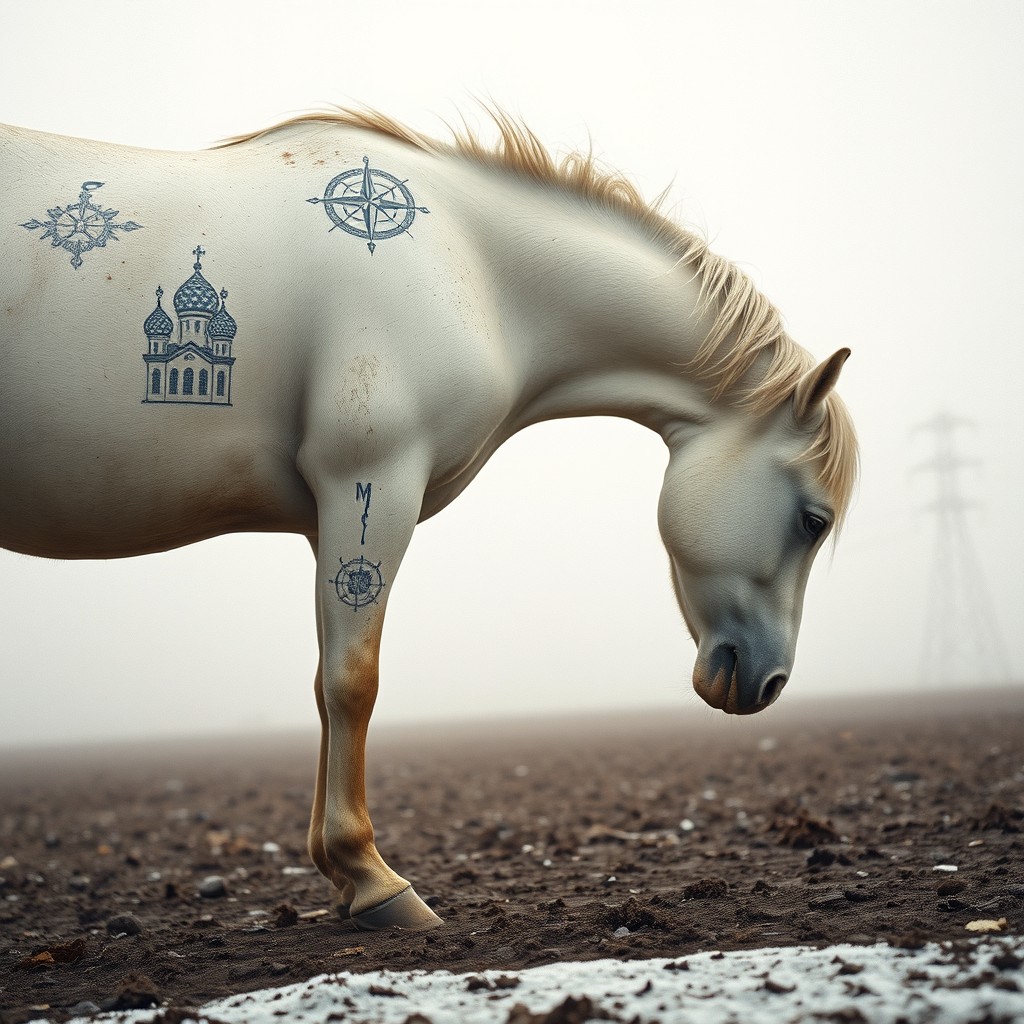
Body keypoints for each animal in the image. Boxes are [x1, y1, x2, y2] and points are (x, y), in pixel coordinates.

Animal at [0, 109, 858, 931]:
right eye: (814, 520)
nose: (770, 680)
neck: (478, 269)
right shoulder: (372, 483)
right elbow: (355, 682)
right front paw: (374, 880)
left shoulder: (330, 518)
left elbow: (326, 685)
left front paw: (341, 876)